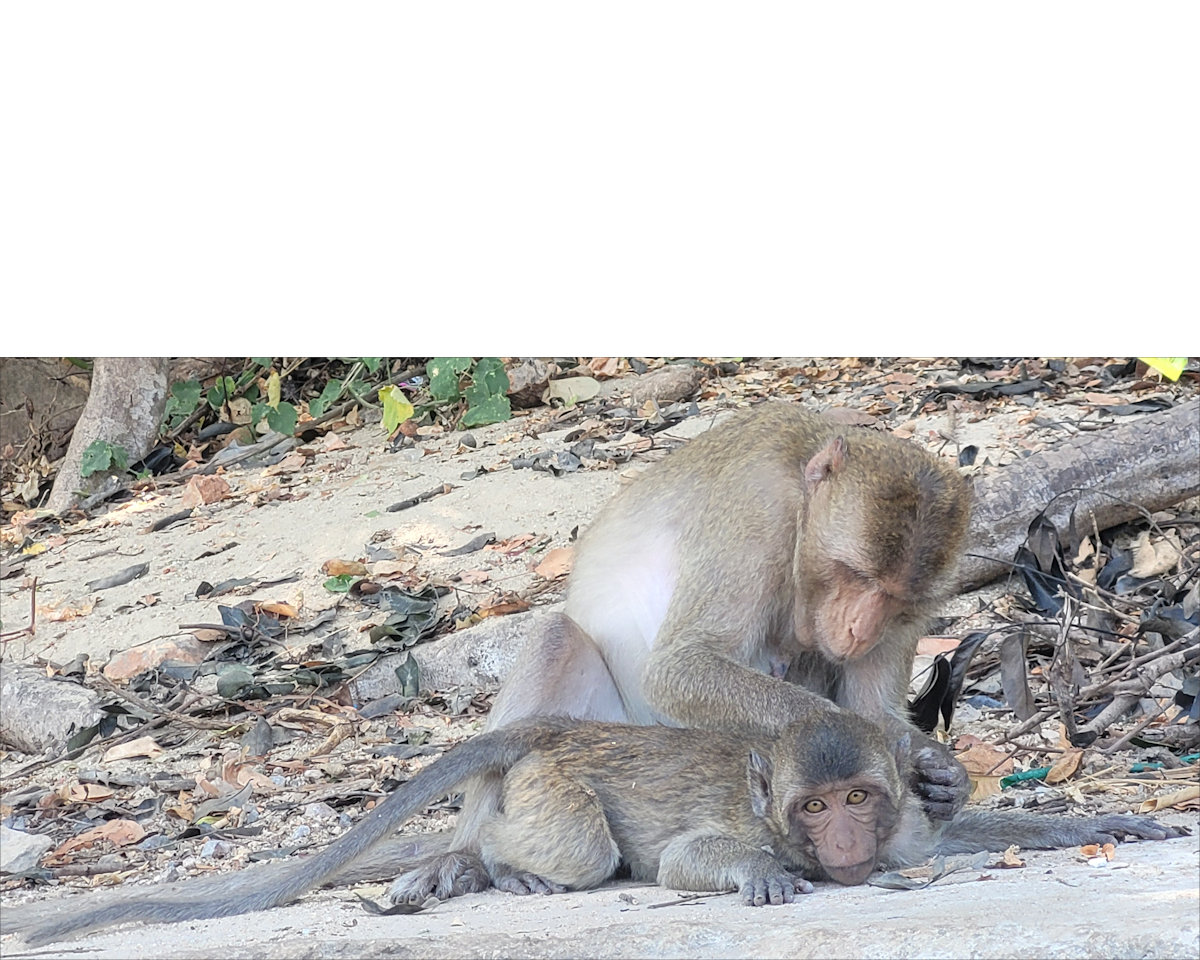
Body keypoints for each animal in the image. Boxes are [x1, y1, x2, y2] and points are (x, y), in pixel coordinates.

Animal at [389, 400, 975, 902]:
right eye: (855, 575)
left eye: (895, 599)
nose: (859, 629)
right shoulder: (756, 512)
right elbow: (677, 667)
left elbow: (875, 709)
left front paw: (941, 773)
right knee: (557, 638)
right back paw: (466, 857)